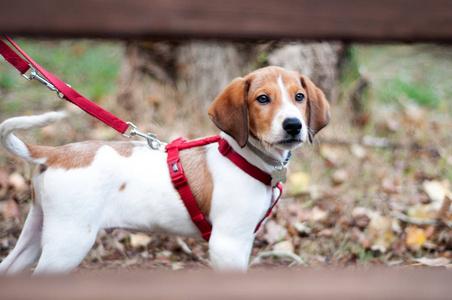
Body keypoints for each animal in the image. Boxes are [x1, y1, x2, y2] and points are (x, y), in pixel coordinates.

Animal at [0, 66, 328, 274]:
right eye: (262, 99)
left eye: (299, 97)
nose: (294, 125)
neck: (243, 157)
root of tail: (57, 153)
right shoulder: (228, 244)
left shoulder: (243, 241)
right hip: (68, 241)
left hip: (38, 231)